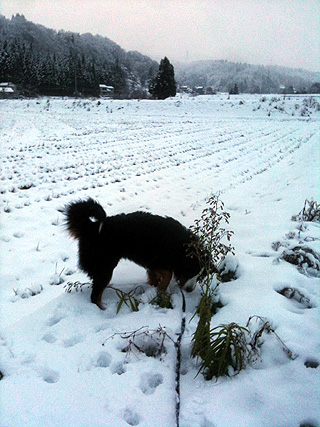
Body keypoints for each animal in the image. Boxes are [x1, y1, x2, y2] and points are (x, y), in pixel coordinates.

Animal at [63, 199, 201, 310]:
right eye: (189, 272)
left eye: (199, 276)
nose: (190, 290)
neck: (178, 244)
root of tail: (91, 227)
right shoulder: (154, 260)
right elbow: (168, 274)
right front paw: (161, 292)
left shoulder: (151, 265)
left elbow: (154, 279)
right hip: (105, 269)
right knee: (95, 296)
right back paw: (102, 312)